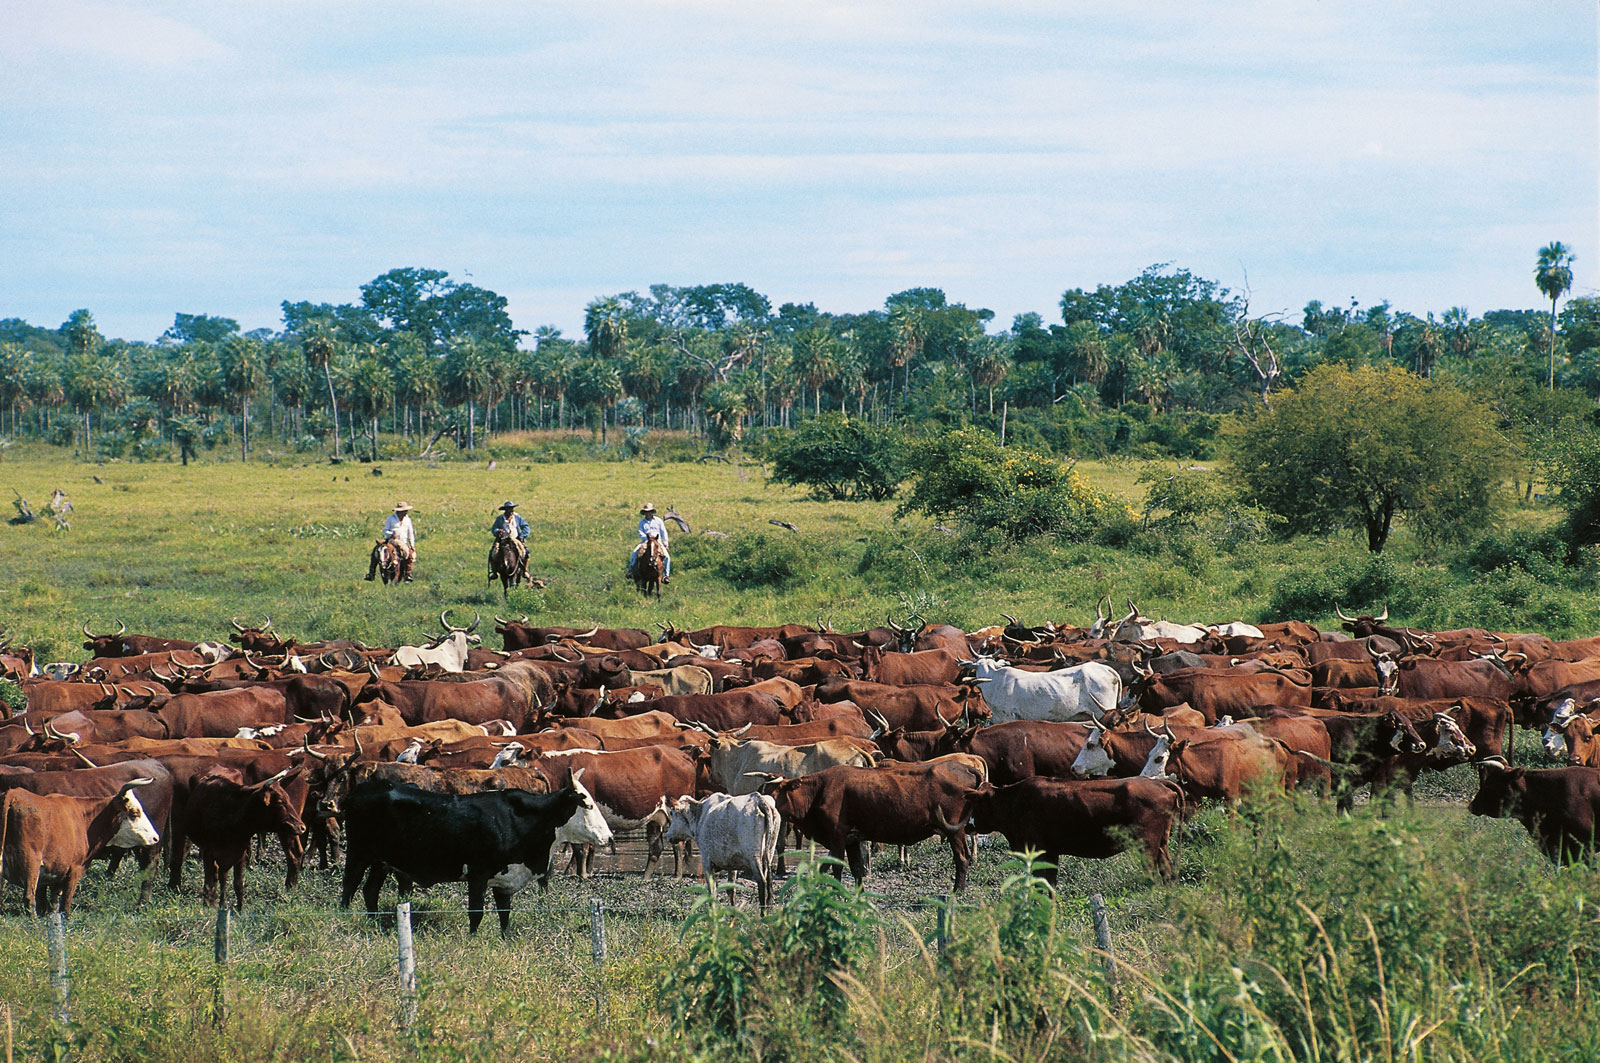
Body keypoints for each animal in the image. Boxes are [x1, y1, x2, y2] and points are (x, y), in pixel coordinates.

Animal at [0, 778, 161, 915]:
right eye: (134, 812)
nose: (155, 838)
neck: (84, 818)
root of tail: (13, 794)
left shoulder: (52, 875)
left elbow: (50, 904)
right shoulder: (74, 869)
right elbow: (65, 904)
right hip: (30, 864)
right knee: (29, 898)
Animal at [340, 778, 590, 935]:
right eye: (586, 805)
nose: (601, 835)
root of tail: (360, 790)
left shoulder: (504, 878)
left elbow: (504, 913)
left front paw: (505, 938)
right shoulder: (478, 874)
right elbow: (476, 911)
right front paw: (473, 940)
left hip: (381, 862)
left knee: (370, 890)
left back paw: (374, 922)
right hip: (358, 853)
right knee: (349, 886)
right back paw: (344, 917)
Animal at [965, 777, 1181, 882]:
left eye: (976, 804)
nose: (968, 826)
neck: (1013, 801)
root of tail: (1156, 781)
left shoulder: (1039, 851)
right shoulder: (1051, 853)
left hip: (1147, 846)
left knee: (1152, 872)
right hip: (1161, 843)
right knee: (1167, 869)